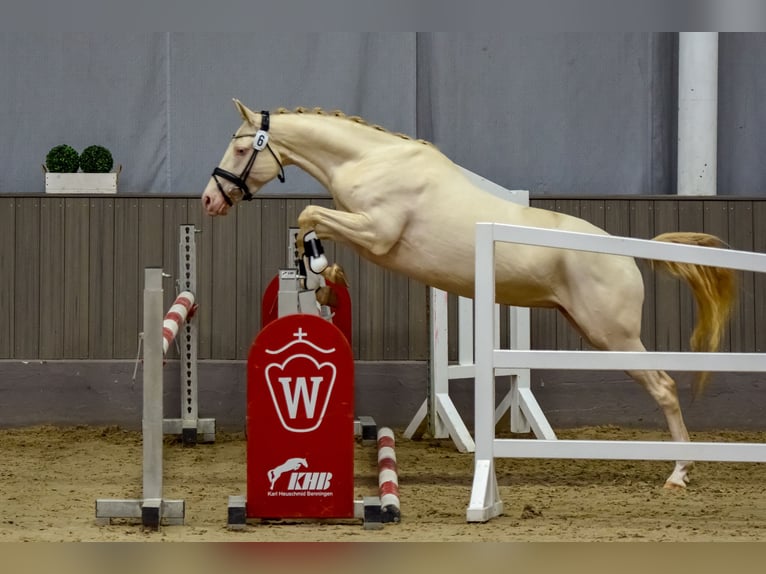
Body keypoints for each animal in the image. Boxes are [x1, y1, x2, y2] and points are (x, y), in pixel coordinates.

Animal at [202, 99, 736, 490]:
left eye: (240, 150)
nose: (210, 200)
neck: (371, 160)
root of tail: (625, 251)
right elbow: (313, 225)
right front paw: (320, 273)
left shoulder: (375, 232)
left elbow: (311, 216)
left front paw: (315, 267)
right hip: (592, 328)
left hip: (613, 336)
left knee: (664, 386)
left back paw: (679, 474)